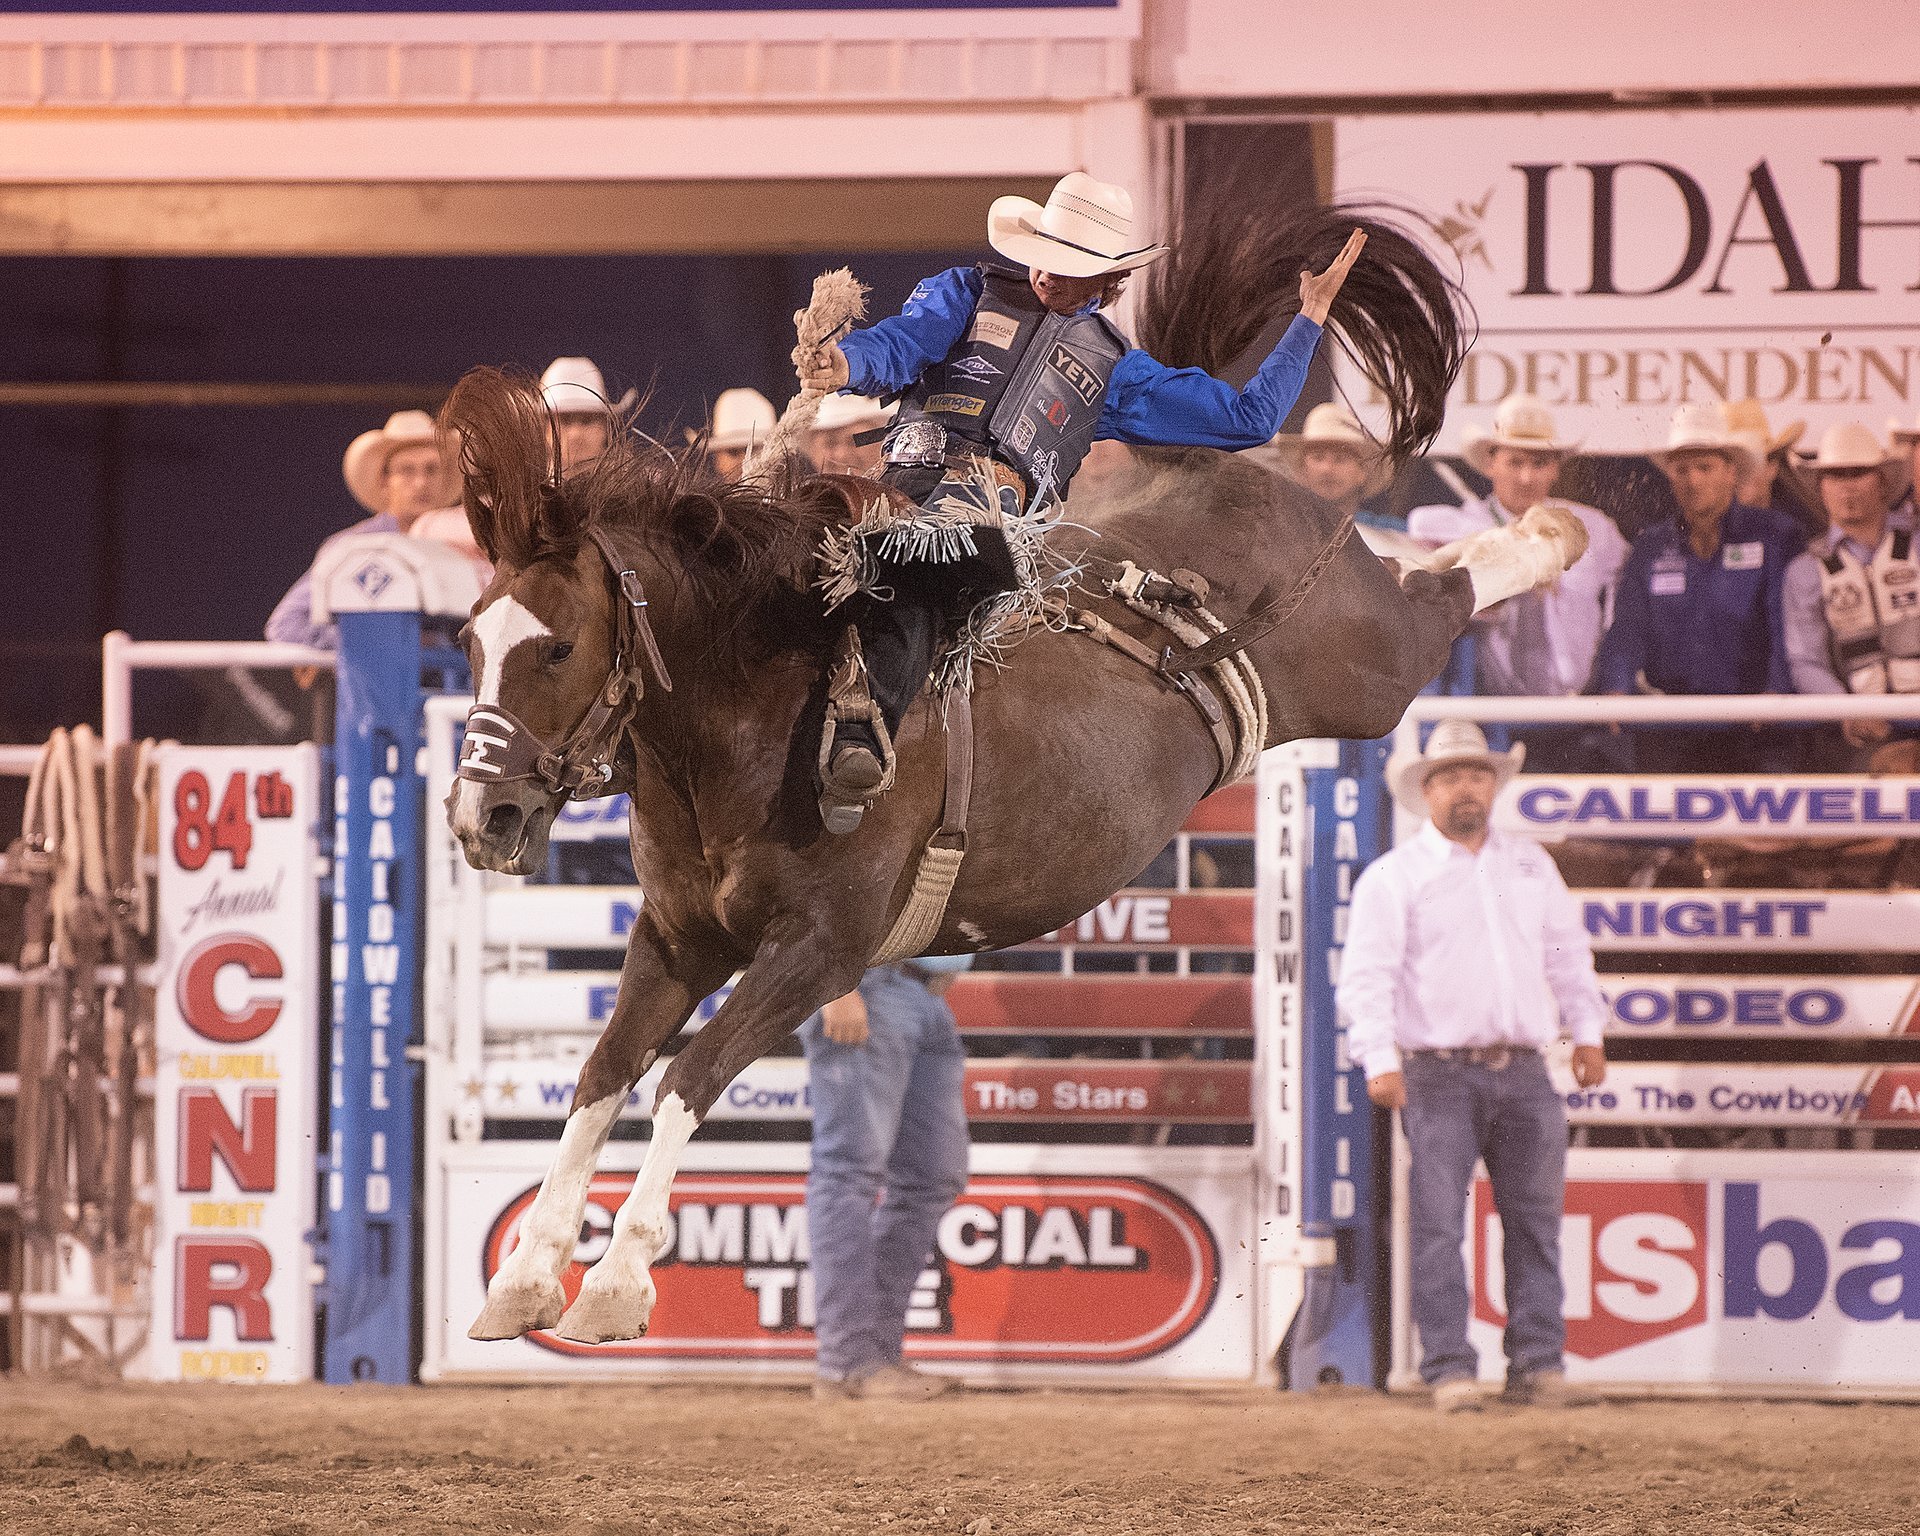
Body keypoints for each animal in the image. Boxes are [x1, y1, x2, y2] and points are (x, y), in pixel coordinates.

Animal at [441, 194, 1582, 1344]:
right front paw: (525, 1277)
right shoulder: (676, 939)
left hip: (1365, 663)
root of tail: (1220, 474)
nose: (480, 816)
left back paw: (1546, 532)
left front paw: (618, 1285)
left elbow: (691, 1073)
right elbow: (605, 1072)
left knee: (1436, 600)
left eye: (557, 649)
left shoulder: (822, 951)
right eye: (468, 639)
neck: (752, 721)